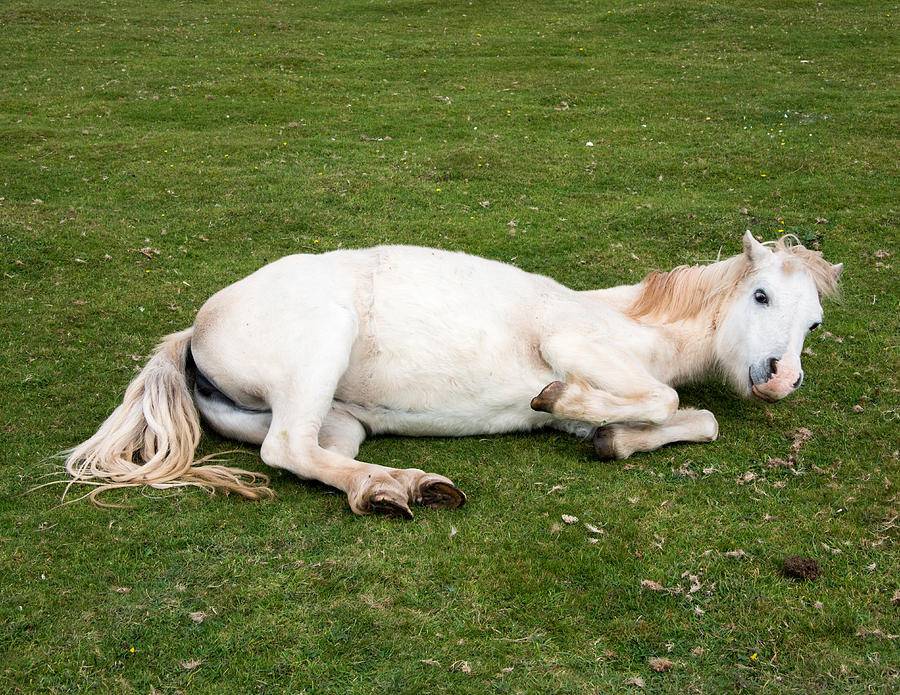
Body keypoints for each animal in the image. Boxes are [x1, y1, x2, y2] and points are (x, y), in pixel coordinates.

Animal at [65, 234, 844, 516]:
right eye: (761, 296)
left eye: (813, 323)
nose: (780, 379)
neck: (633, 322)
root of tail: (196, 332)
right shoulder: (574, 344)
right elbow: (663, 395)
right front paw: (567, 399)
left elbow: (693, 416)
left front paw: (610, 436)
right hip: (322, 343)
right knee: (285, 449)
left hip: (334, 419)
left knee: (315, 453)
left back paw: (397, 487)